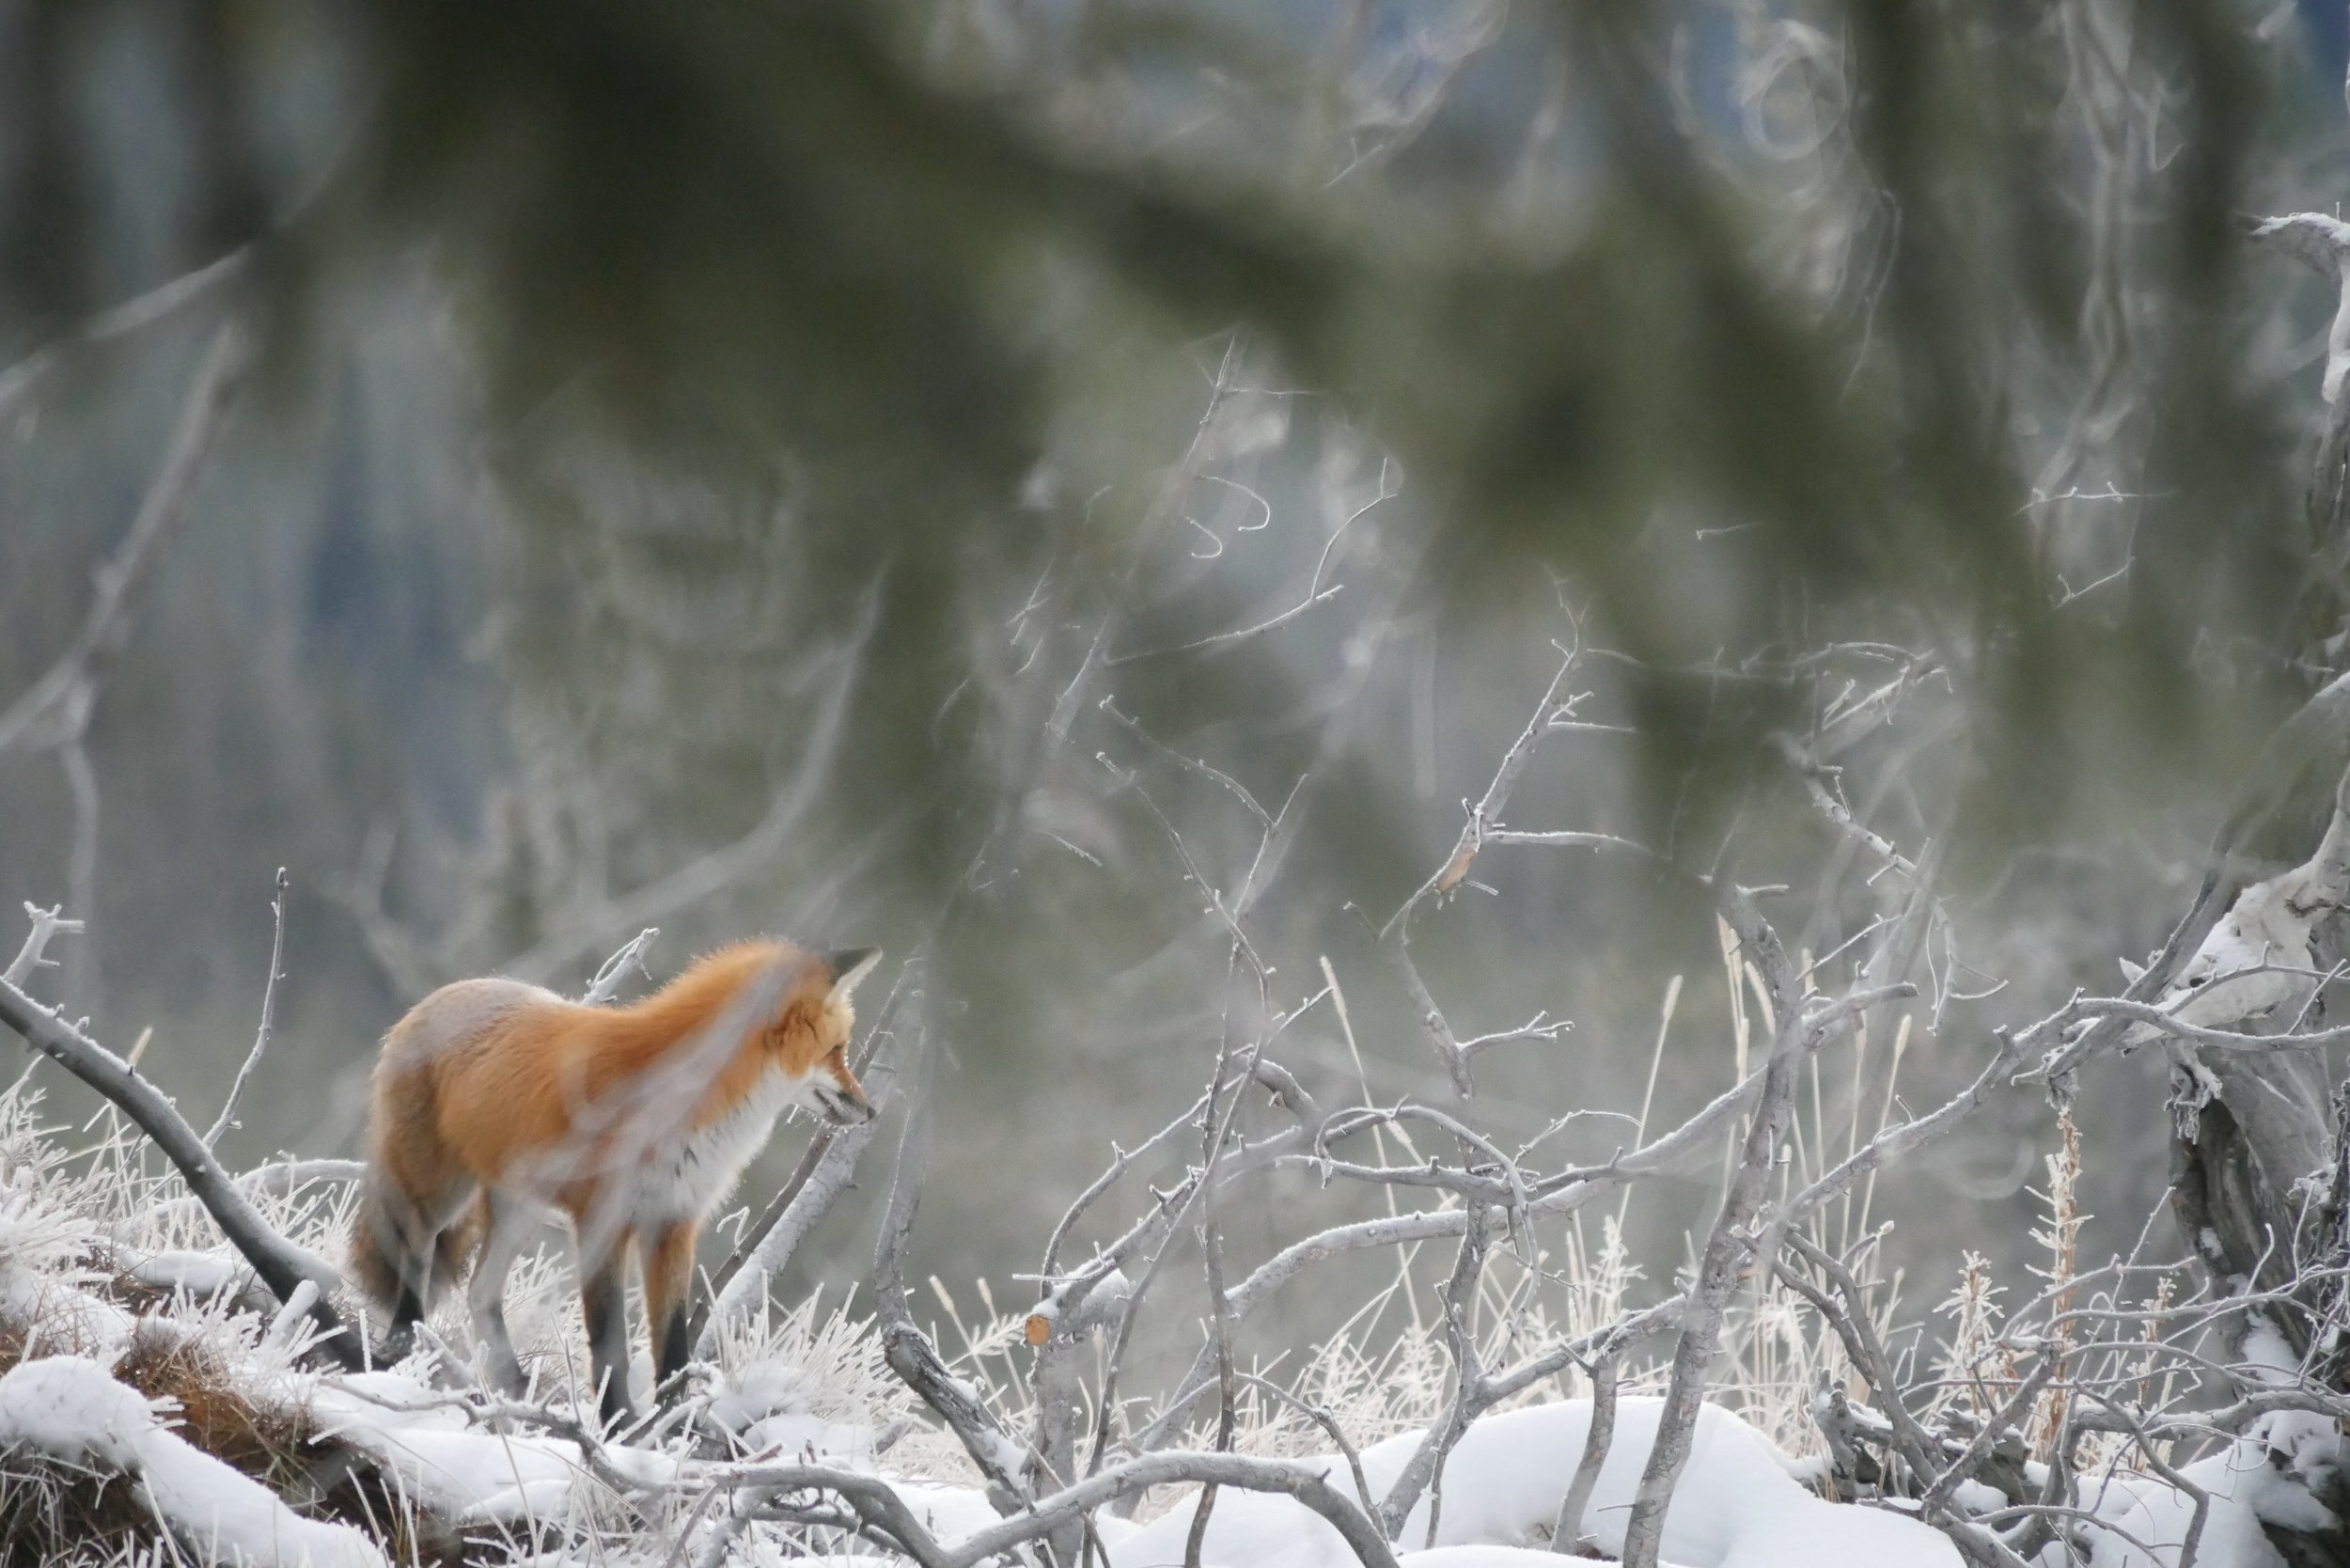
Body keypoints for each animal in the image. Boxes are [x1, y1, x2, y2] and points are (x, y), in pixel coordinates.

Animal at [349, 940, 880, 1424]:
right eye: (837, 1050)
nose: (872, 1110)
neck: (682, 1108)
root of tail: (438, 997)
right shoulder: (602, 1220)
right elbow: (609, 1342)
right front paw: (617, 1424)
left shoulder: (673, 1220)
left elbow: (673, 1343)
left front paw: (673, 1425)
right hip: (437, 1193)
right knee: (415, 1256)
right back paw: (404, 1343)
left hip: (519, 1210)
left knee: (480, 1292)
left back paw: (512, 1387)